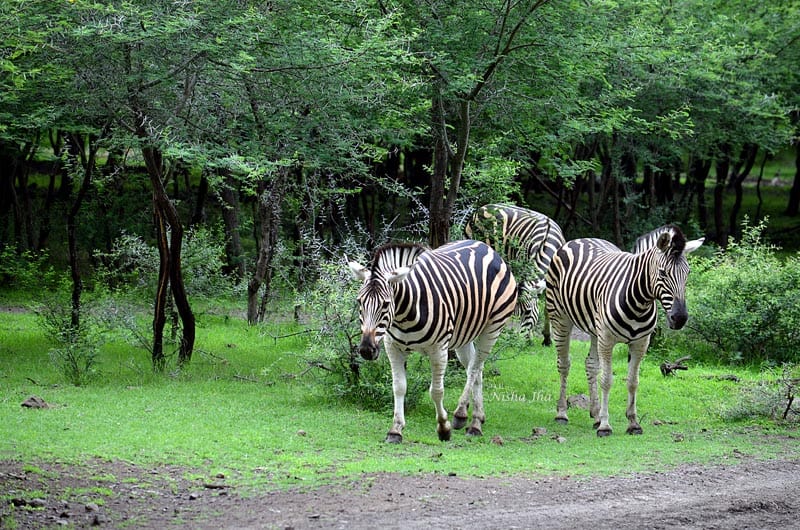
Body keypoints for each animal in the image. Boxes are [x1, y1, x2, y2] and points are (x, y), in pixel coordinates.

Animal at [346, 239, 516, 442]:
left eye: (386, 304)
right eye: (359, 302)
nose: (366, 350)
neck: (404, 314)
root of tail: (486, 246)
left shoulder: (439, 349)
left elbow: (436, 391)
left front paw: (443, 427)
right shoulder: (393, 347)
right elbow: (399, 387)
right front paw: (395, 430)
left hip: (492, 328)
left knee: (474, 369)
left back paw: (465, 418)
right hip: (464, 336)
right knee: (475, 368)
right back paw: (478, 417)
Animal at [462, 204, 568, 344]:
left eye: (528, 312)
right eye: (514, 313)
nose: (514, 342)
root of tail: (482, 208)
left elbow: (547, 308)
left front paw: (547, 339)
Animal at [548, 225, 704, 436]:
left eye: (687, 274)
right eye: (663, 273)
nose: (679, 318)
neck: (639, 302)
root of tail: (582, 239)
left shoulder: (640, 343)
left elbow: (633, 381)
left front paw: (633, 423)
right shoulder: (607, 339)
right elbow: (606, 380)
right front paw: (605, 426)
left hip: (594, 329)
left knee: (590, 364)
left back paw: (595, 414)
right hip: (560, 318)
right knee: (564, 364)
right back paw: (562, 414)